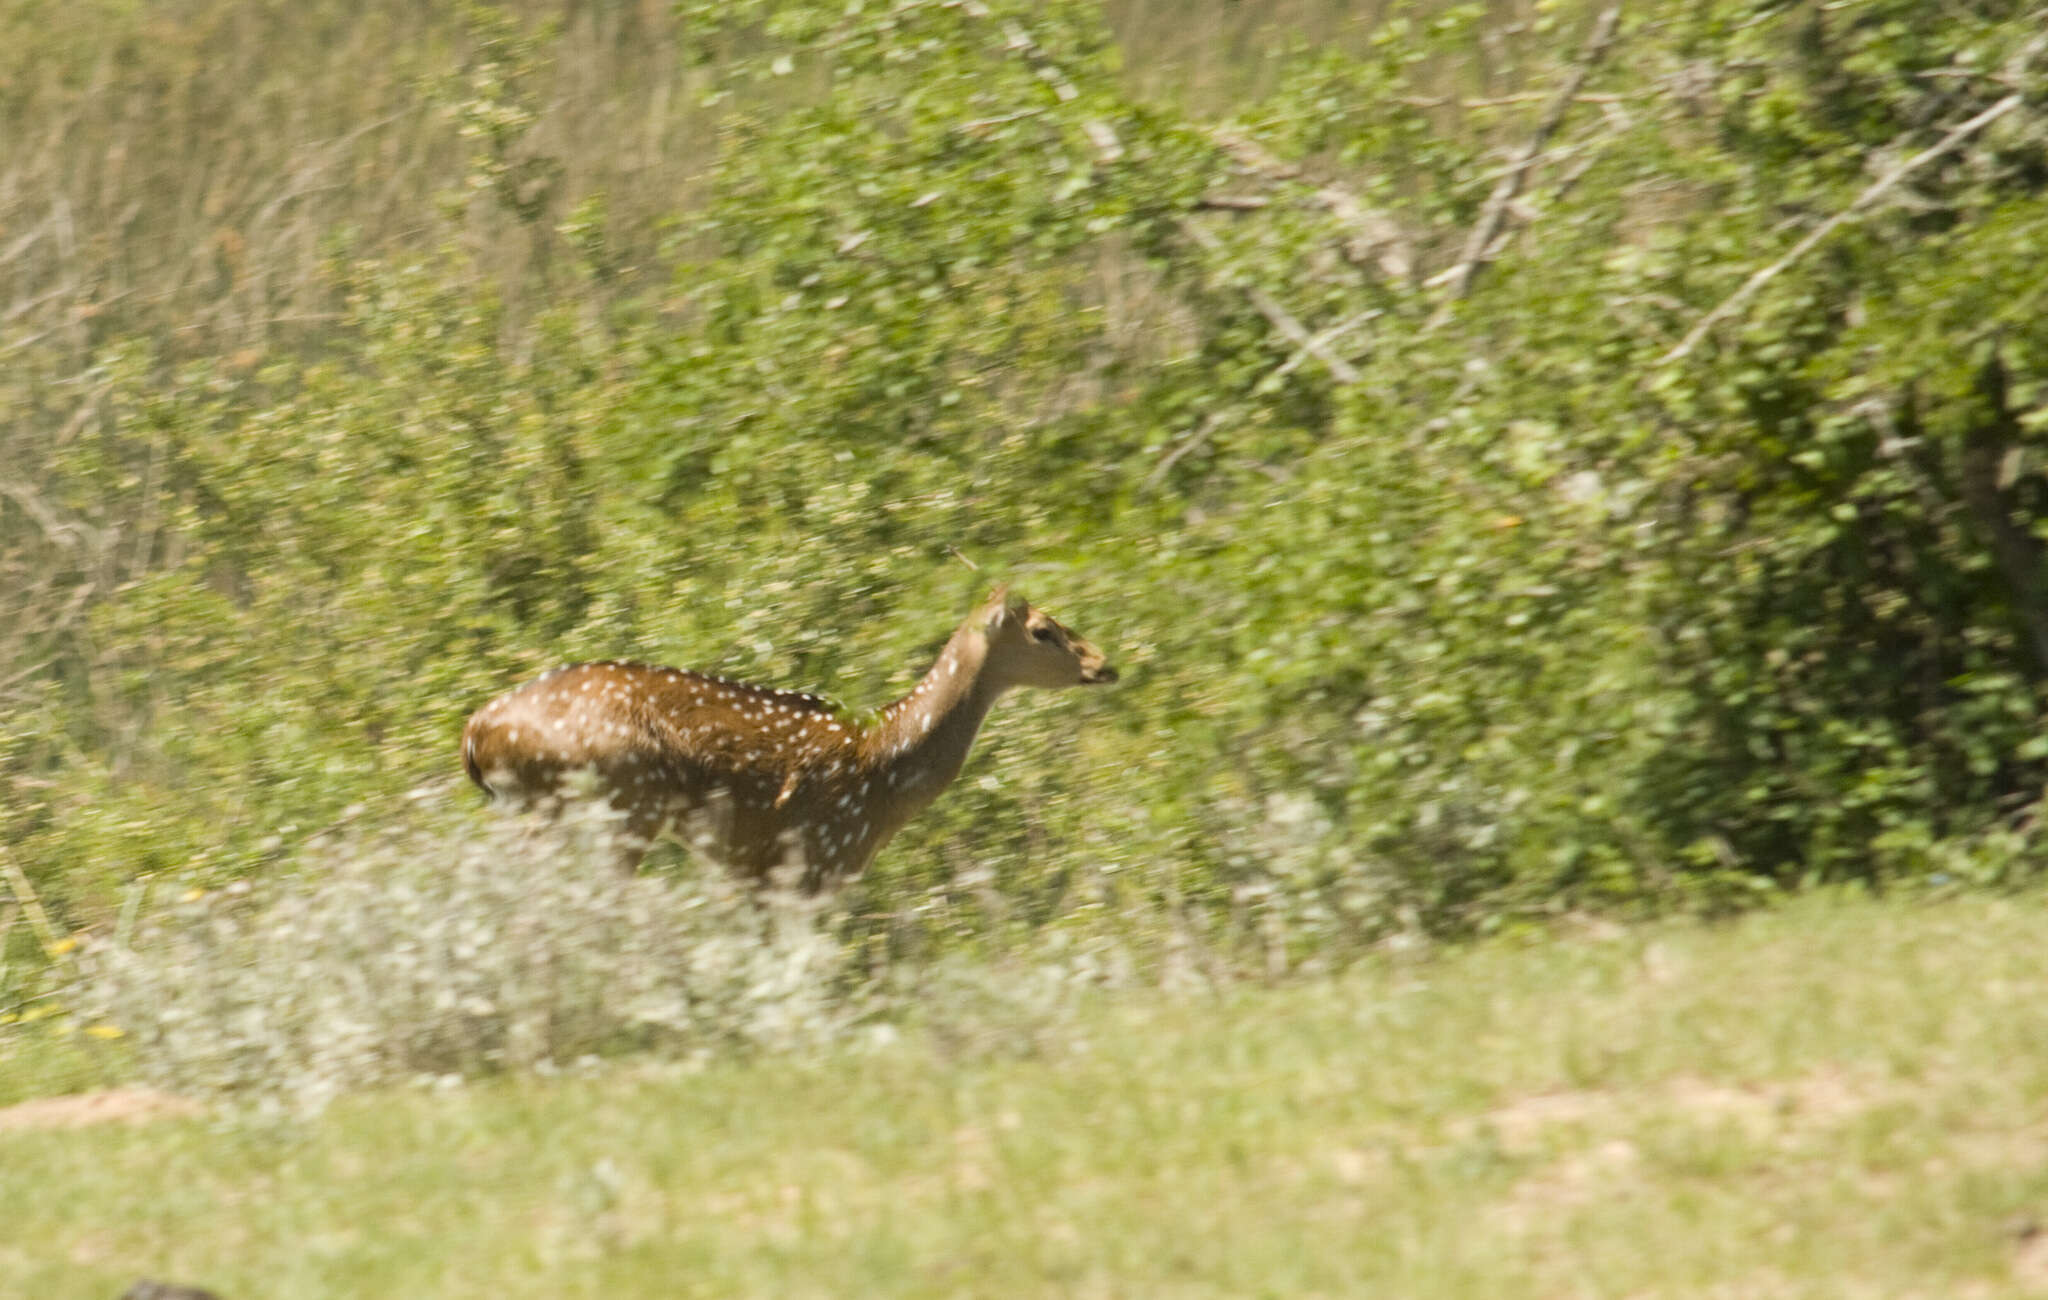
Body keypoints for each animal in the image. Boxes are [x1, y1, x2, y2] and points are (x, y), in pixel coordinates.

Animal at [460, 585, 1122, 884]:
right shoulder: (808, 858)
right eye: (1043, 630)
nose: (1104, 663)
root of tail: (475, 732)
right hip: (613, 804)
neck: (883, 768)